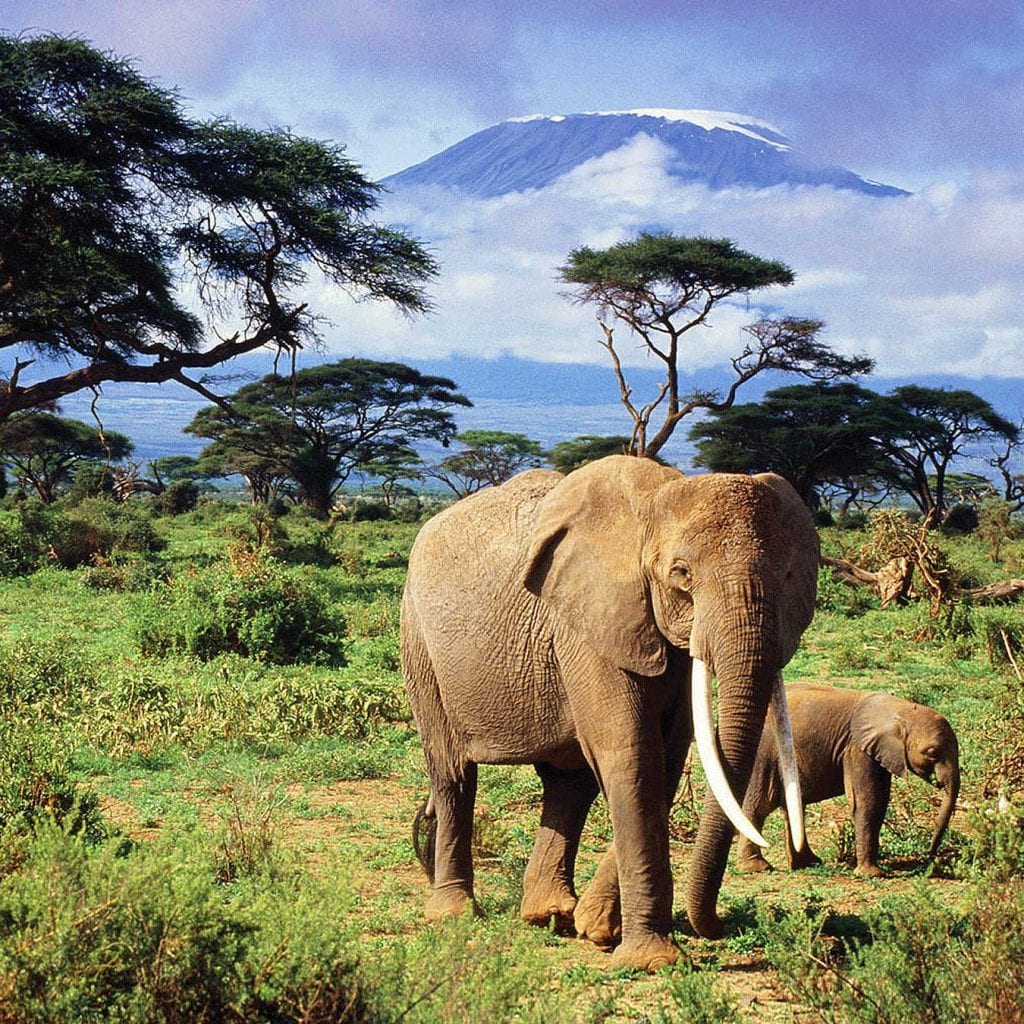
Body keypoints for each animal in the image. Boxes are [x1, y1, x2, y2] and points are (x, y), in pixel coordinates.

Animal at [399, 456, 815, 966]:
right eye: (681, 574)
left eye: (789, 578)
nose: (717, 926)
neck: (657, 499)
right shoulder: (587, 620)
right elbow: (633, 754)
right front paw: (652, 960)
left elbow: (665, 759)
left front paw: (598, 928)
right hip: (419, 641)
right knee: (454, 774)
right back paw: (455, 914)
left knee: (567, 783)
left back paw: (550, 914)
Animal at [737, 684, 958, 876]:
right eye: (932, 753)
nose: (930, 854)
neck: (898, 708)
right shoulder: (856, 749)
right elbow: (867, 801)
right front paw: (872, 874)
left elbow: (881, 801)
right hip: (764, 753)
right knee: (760, 804)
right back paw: (757, 868)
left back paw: (808, 863)